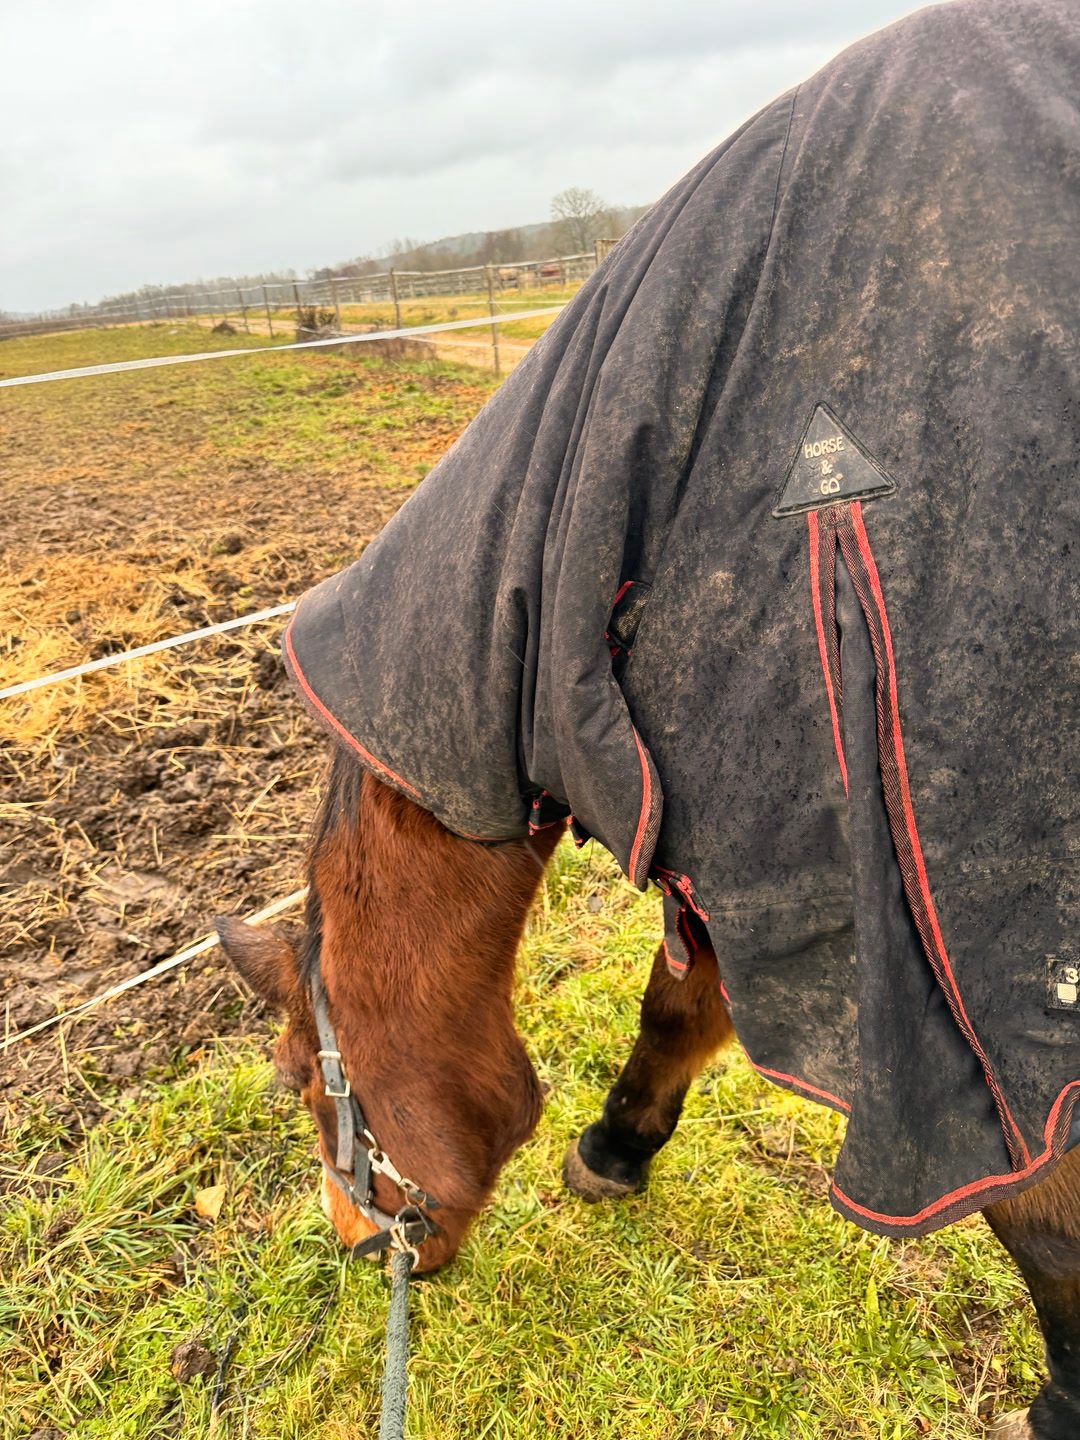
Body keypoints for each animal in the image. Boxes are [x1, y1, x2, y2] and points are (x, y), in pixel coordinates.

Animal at [217, 3, 1080, 1435]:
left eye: (297, 1083)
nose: (354, 1248)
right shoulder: (748, 855)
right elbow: (679, 1008)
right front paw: (618, 1146)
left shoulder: (961, 961)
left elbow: (1042, 1216)